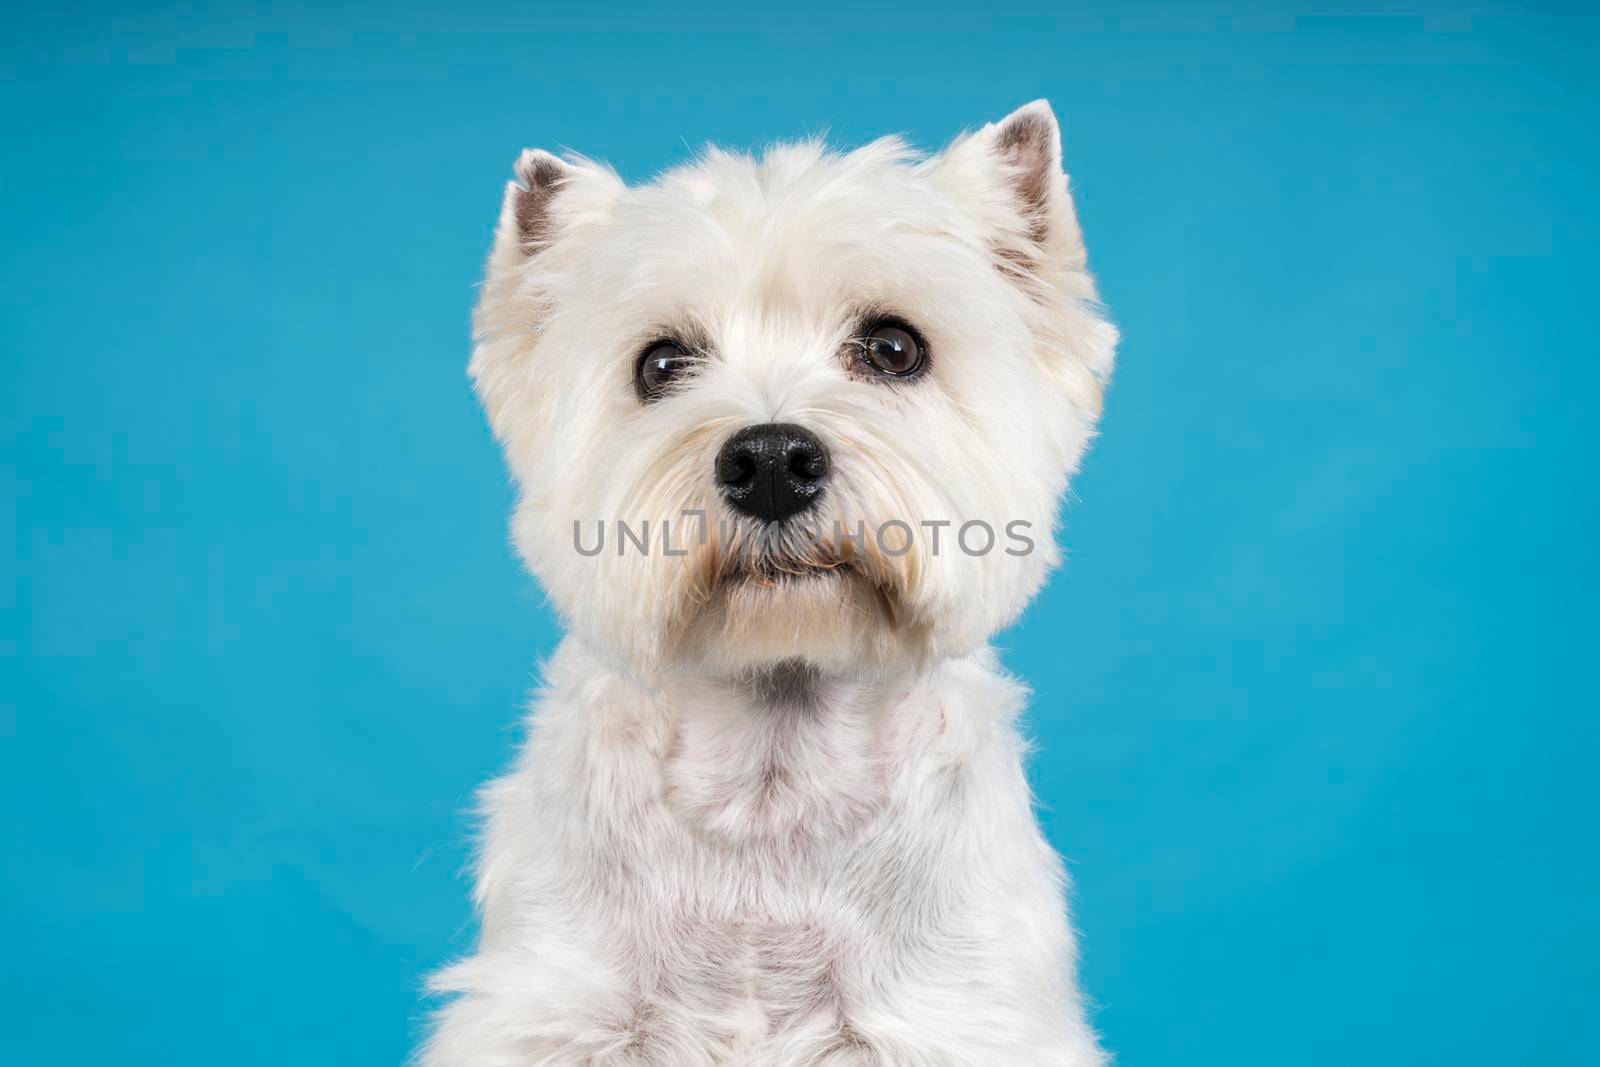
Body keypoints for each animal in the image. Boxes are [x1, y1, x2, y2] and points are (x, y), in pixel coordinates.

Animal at [428, 102, 1126, 1067]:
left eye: (894, 347)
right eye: (659, 364)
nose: (768, 462)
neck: (773, 780)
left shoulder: (954, 1012)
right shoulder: (556, 1007)